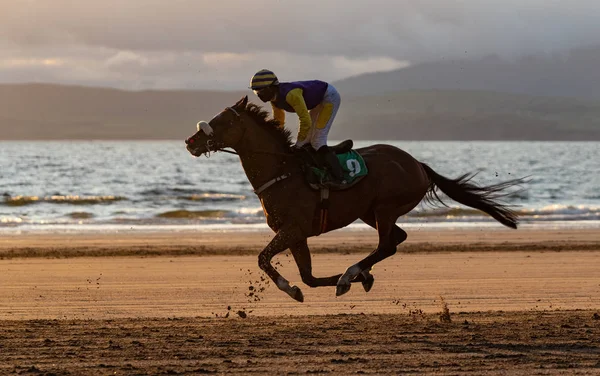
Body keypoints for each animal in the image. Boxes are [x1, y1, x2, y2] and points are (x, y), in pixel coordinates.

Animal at [185, 95, 524, 302]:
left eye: (224, 121)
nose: (190, 141)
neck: (282, 171)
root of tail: (417, 164)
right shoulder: (295, 234)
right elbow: (308, 278)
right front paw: (350, 281)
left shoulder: (293, 229)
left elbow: (263, 259)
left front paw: (296, 288)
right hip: (369, 212)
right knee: (397, 239)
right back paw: (357, 274)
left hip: (386, 207)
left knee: (387, 245)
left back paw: (351, 273)